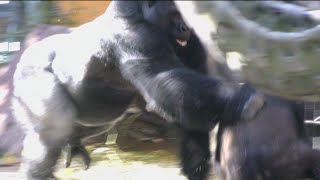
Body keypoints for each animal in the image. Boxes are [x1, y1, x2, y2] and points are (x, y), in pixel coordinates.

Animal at [13, 0, 242, 179]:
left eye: (184, 16)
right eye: (174, 14)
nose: (185, 28)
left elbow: (188, 106)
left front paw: (196, 165)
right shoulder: (133, 31)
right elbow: (165, 81)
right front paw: (237, 97)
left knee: (89, 124)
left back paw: (73, 144)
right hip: (28, 73)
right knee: (53, 131)